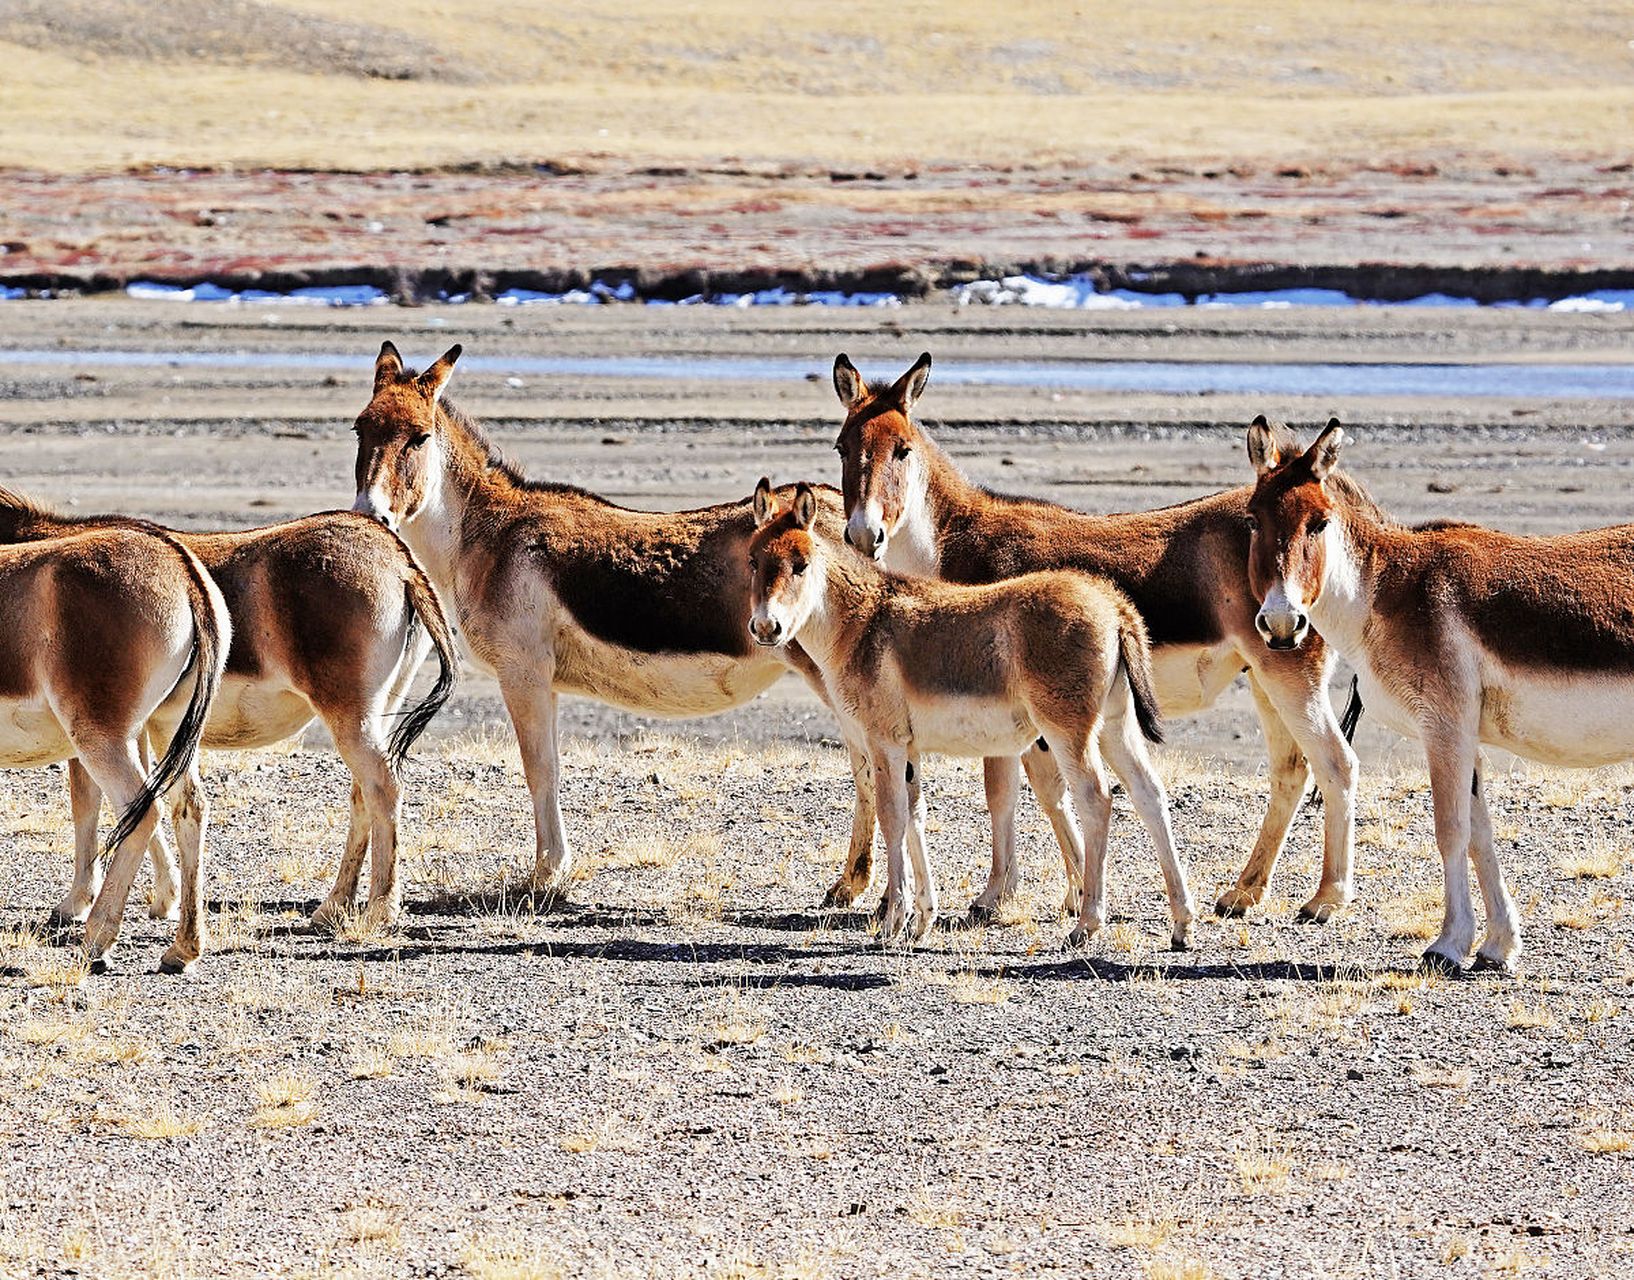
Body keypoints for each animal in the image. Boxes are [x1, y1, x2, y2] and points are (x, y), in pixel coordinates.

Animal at [0, 506, 230, 967]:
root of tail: (182, 568)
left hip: (100, 736)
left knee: (142, 811)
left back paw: (97, 939)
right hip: (168, 726)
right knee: (188, 807)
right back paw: (183, 948)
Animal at [748, 474, 1196, 948]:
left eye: (801, 565)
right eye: (754, 561)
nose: (766, 628)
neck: (861, 623)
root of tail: (1114, 607)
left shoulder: (884, 742)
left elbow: (892, 817)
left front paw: (892, 922)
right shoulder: (909, 749)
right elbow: (915, 814)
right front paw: (923, 919)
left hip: (1068, 731)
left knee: (1096, 798)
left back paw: (1087, 923)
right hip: (1115, 725)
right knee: (1149, 794)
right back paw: (1182, 923)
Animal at [830, 354, 1352, 928]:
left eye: (902, 449)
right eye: (843, 447)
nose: (864, 536)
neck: (951, 543)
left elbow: (1003, 792)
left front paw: (999, 896)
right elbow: (1041, 790)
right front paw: (1070, 892)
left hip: (1290, 677)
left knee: (1336, 763)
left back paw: (1327, 898)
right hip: (1264, 678)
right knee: (1292, 770)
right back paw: (1243, 893)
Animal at [1241, 421, 1627, 974]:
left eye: (1319, 523)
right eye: (1252, 521)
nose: (1280, 625)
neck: (1387, 593)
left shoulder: (1443, 728)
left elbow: (1450, 831)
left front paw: (1446, 946)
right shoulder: (1465, 736)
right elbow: (1480, 835)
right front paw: (1497, 946)